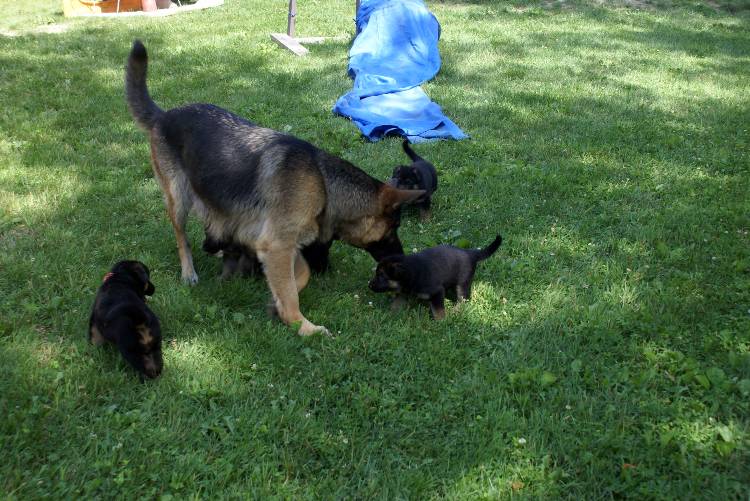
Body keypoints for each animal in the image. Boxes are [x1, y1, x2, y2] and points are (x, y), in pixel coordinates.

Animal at [126, 40, 426, 336]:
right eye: (394, 227)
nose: (402, 257)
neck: (324, 185)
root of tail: (164, 116)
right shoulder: (277, 247)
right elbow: (291, 293)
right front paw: (303, 326)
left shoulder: (285, 248)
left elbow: (298, 278)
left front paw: (276, 303)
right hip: (179, 200)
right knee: (182, 239)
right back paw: (188, 272)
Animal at [368, 235, 502, 320]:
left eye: (381, 276)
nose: (369, 285)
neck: (412, 272)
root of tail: (471, 253)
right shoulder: (403, 293)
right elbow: (396, 304)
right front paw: (389, 315)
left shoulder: (436, 292)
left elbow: (438, 311)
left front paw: (441, 322)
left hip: (463, 283)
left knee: (463, 299)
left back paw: (456, 311)